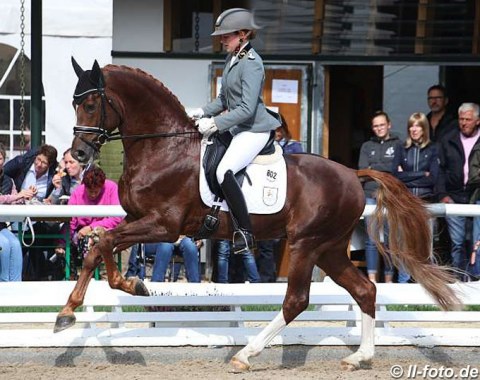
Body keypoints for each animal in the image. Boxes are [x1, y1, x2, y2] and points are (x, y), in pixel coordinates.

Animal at [56, 60, 462, 372]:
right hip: (329, 248)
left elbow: (107, 243)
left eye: (90, 104)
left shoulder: (164, 226)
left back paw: (246, 354)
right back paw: (359, 357)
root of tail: (351, 173)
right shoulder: (136, 220)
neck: (164, 148)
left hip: (305, 244)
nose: (78, 154)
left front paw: (130, 285)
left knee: (297, 300)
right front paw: (69, 312)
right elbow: (99, 246)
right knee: (365, 289)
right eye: (75, 103)